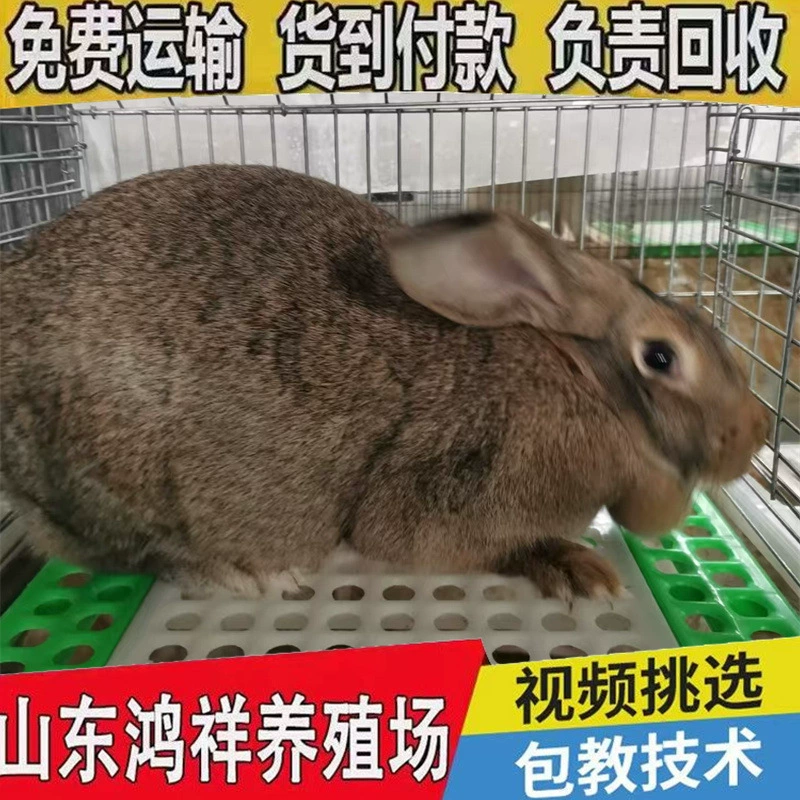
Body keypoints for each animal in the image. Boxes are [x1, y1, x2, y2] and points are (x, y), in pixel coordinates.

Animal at [0, 164, 768, 604]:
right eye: (661, 357)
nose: (758, 435)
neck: (586, 388)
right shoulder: (448, 492)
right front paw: (577, 568)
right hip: (125, 475)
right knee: (141, 553)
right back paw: (253, 575)